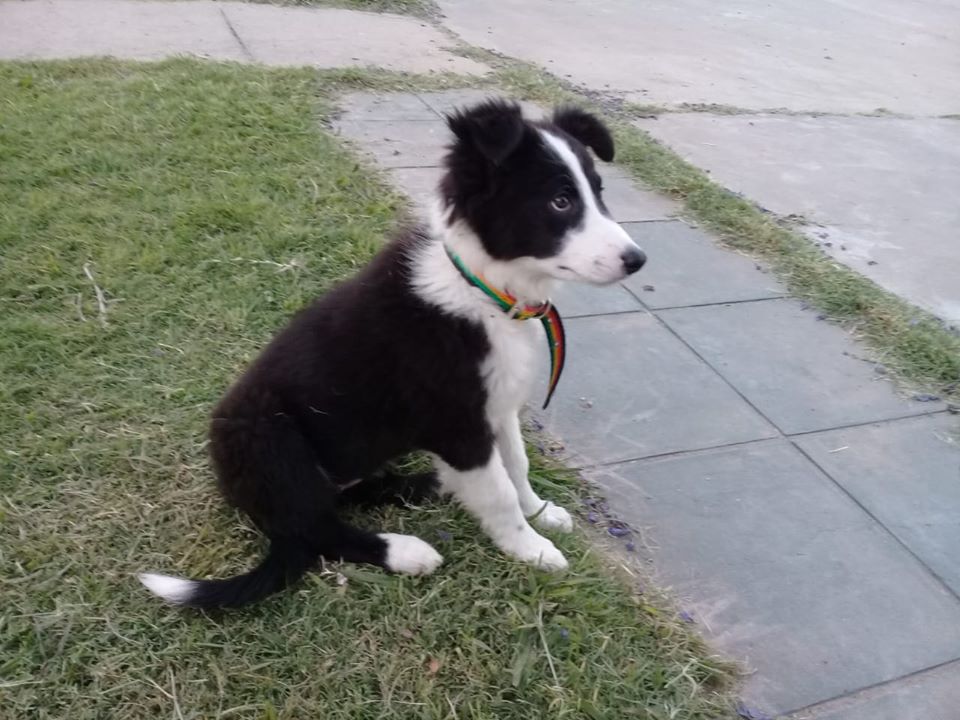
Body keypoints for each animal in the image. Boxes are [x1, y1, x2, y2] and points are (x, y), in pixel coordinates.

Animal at [141, 100, 644, 608]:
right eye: (560, 201)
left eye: (599, 192)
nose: (637, 260)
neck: (482, 288)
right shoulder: (458, 424)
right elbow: (498, 491)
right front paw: (532, 549)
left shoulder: (497, 405)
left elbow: (516, 466)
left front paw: (541, 512)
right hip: (271, 438)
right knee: (318, 531)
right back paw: (406, 551)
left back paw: (432, 484)